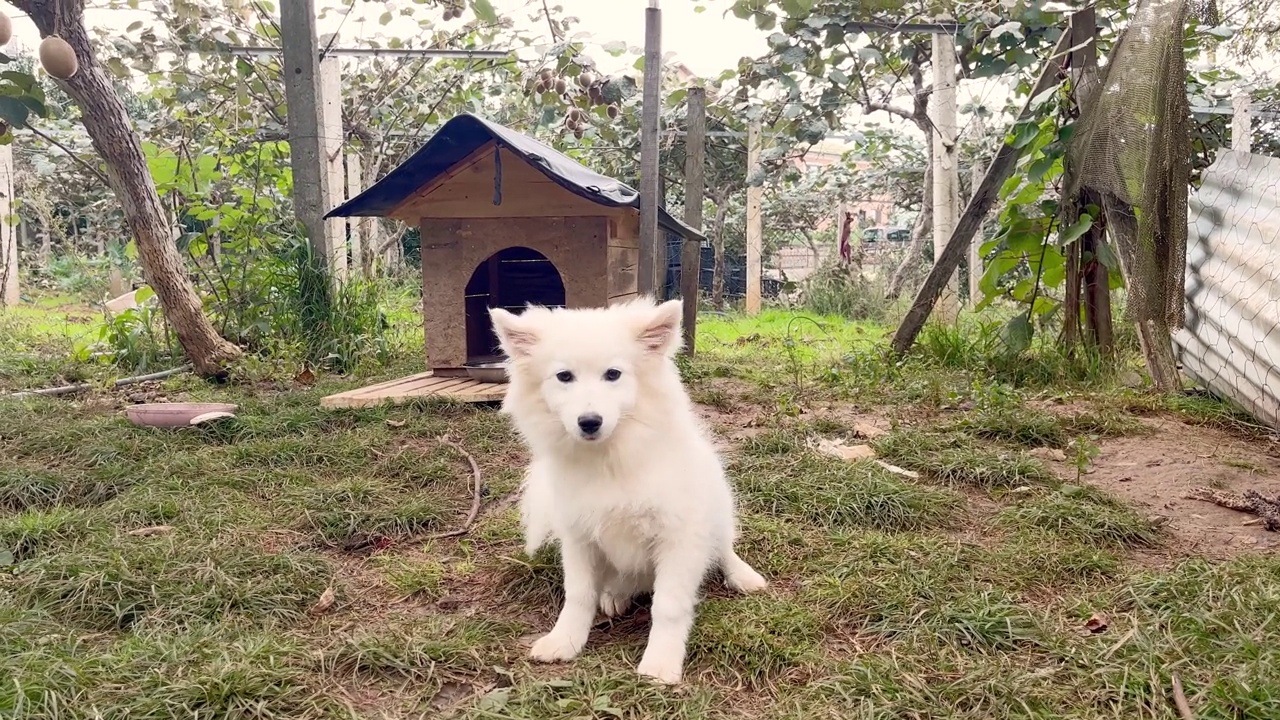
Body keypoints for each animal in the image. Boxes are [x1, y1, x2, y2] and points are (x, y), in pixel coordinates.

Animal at [488, 295, 762, 681]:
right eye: (564, 376)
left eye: (613, 374)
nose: (589, 422)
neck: (609, 460)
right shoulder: (578, 536)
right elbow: (578, 595)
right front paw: (565, 641)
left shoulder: (678, 535)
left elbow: (668, 605)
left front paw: (660, 663)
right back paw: (615, 594)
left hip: (718, 508)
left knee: (722, 549)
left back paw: (743, 576)